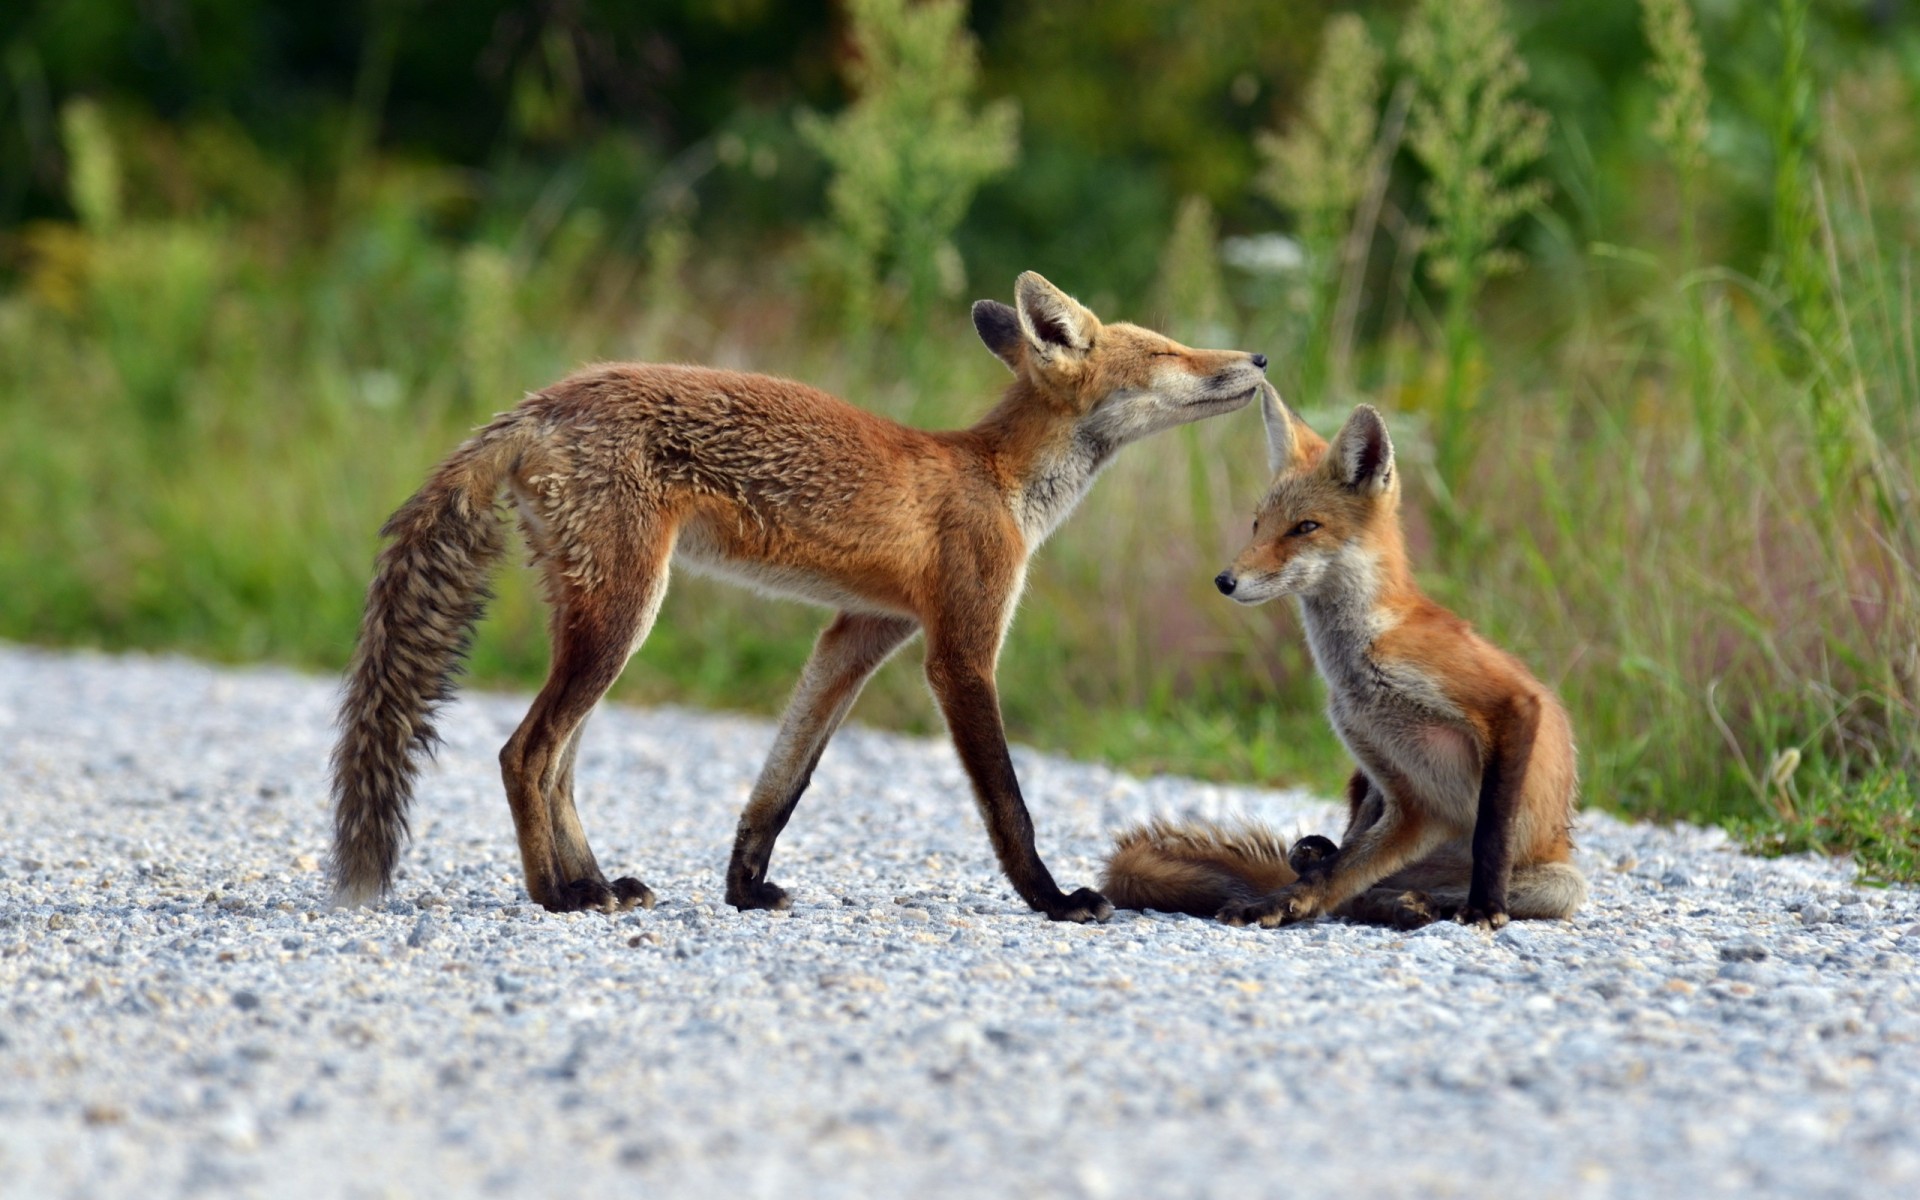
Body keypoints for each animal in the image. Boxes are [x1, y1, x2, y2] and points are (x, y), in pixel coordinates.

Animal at [328, 271, 1269, 922]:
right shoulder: (959, 650)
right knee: (523, 753)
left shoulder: (860, 633)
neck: (999, 481)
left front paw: (745, 888)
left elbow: (781, 784)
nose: (1258, 359)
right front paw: (1054, 900)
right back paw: (560, 895)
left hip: (599, 619)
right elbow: (1009, 804)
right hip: (623, 617)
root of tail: (539, 404)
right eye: (1169, 352)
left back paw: (590, 878)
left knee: (557, 764)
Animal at [1102, 385, 1586, 930]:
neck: (1361, 655)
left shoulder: (1509, 703)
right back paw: (1390, 901)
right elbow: (1336, 871)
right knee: (1339, 881)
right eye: (1257, 524)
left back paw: (1425, 903)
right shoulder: (1405, 793)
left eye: (1305, 527)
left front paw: (1486, 906)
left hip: (1559, 882)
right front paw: (1280, 902)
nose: (1225, 580)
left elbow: (1490, 833)